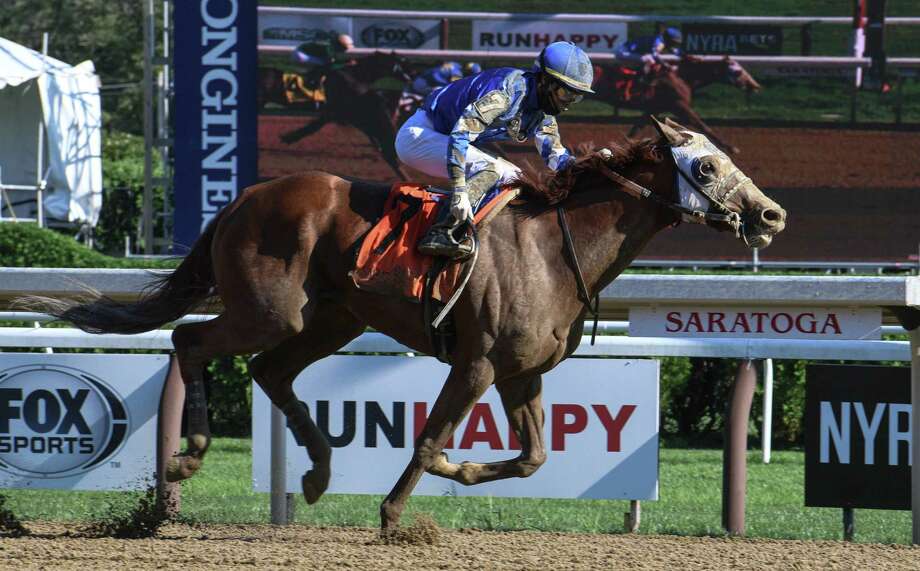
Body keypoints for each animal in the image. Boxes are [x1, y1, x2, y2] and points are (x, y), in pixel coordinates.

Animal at [18, 118, 788, 536]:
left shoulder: (523, 371)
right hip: (270, 309)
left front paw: (464, 469)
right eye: (707, 165)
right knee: (191, 341)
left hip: (329, 316)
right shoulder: (476, 363)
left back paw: (318, 470)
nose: (771, 213)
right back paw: (186, 458)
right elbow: (427, 439)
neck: (553, 248)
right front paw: (397, 514)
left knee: (270, 369)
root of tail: (242, 197)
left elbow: (533, 456)